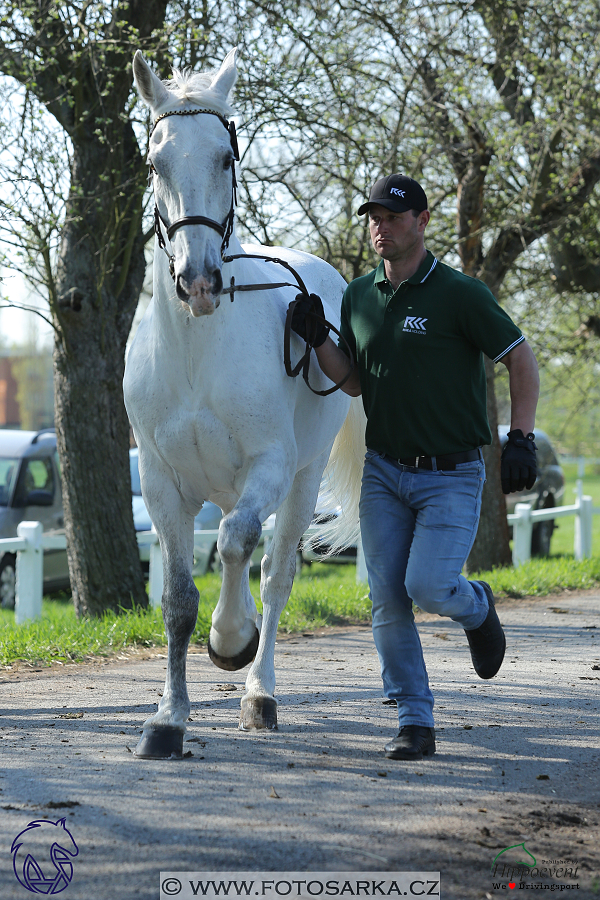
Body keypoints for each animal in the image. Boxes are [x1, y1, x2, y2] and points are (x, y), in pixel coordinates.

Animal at [124, 45, 364, 756]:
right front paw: (167, 719)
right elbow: (177, 599)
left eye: (225, 158)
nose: (198, 280)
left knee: (274, 573)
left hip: (303, 480)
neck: (198, 353)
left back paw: (259, 691)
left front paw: (230, 640)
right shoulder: (161, 484)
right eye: (156, 163)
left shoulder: (270, 468)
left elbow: (234, 546)